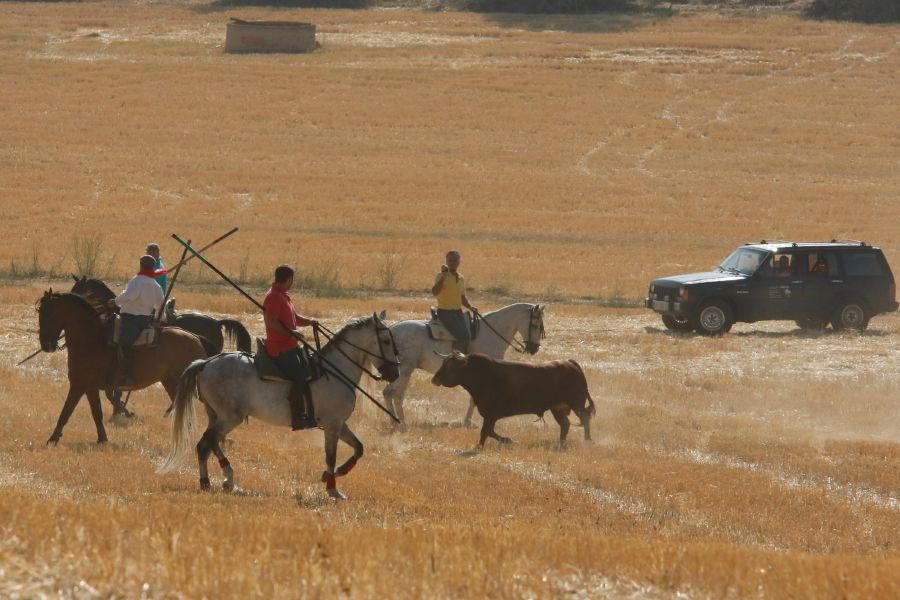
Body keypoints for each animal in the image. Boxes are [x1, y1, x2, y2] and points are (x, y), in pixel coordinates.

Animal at [37, 290, 217, 446]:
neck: (92, 339)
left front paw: (52, 439)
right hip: (171, 383)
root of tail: (196, 338)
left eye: (47, 313)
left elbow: (66, 411)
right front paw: (102, 439)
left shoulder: (79, 385)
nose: (46, 345)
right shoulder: (89, 388)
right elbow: (96, 413)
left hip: (177, 385)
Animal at [160, 312, 400, 500]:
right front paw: (333, 489)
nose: (395, 373)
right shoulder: (332, 425)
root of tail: (205, 363)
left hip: (217, 416)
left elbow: (359, 448)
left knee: (209, 443)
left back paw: (218, 480)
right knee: (207, 442)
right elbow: (330, 456)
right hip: (230, 417)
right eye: (387, 341)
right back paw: (218, 480)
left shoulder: (339, 424)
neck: (334, 371)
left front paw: (334, 474)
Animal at [382, 304, 544, 432]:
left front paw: (467, 422)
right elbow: (474, 400)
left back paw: (393, 423)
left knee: (387, 393)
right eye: (535, 325)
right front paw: (468, 422)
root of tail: (391, 329)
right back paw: (402, 425)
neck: (490, 333)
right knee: (396, 395)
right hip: (405, 370)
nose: (534, 348)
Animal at [430, 352, 596, 450]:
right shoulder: (491, 416)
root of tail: (569, 362)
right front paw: (509, 440)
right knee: (565, 424)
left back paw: (587, 440)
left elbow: (485, 432)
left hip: (576, 403)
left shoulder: (490, 414)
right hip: (556, 408)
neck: (481, 374)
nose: (434, 379)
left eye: (451, 366)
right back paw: (561, 443)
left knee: (584, 418)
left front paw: (479, 446)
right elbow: (490, 432)